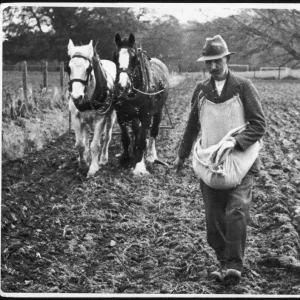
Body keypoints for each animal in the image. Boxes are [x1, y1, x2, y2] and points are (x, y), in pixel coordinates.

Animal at [67, 39, 117, 176]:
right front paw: (83, 163)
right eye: (68, 68)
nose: (76, 96)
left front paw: (93, 167)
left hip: (110, 115)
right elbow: (80, 144)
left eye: (88, 68)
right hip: (85, 119)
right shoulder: (76, 118)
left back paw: (103, 158)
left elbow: (95, 144)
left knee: (107, 137)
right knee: (86, 137)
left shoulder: (100, 118)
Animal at [112, 33, 170, 176]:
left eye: (134, 58)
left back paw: (151, 156)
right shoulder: (121, 115)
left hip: (159, 111)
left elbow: (142, 140)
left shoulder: (147, 116)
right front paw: (126, 158)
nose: (122, 86)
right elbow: (126, 137)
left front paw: (139, 166)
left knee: (153, 132)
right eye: (115, 56)